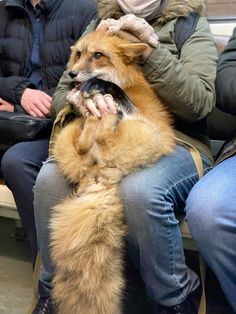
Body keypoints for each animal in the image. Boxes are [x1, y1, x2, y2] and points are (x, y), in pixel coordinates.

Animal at [50, 30, 175, 314]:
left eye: (98, 55)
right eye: (79, 53)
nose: (72, 74)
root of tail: (100, 173)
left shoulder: (131, 106)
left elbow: (110, 90)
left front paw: (96, 87)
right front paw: (86, 96)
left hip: (146, 130)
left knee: (104, 131)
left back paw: (106, 117)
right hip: (68, 136)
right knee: (86, 139)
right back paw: (96, 121)